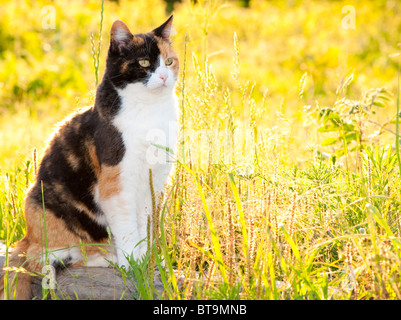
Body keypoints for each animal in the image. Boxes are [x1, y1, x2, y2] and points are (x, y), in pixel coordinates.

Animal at [0, 15, 178, 300]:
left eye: (170, 61)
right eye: (144, 63)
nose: (163, 76)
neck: (151, 113)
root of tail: (27, 238)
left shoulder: (151, 184)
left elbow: (143, 227)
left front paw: (147, 260)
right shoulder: (116, 186)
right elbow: (128, 230)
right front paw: (132, 264)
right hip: (42, 203)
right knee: (52, 259)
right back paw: (108, 257)